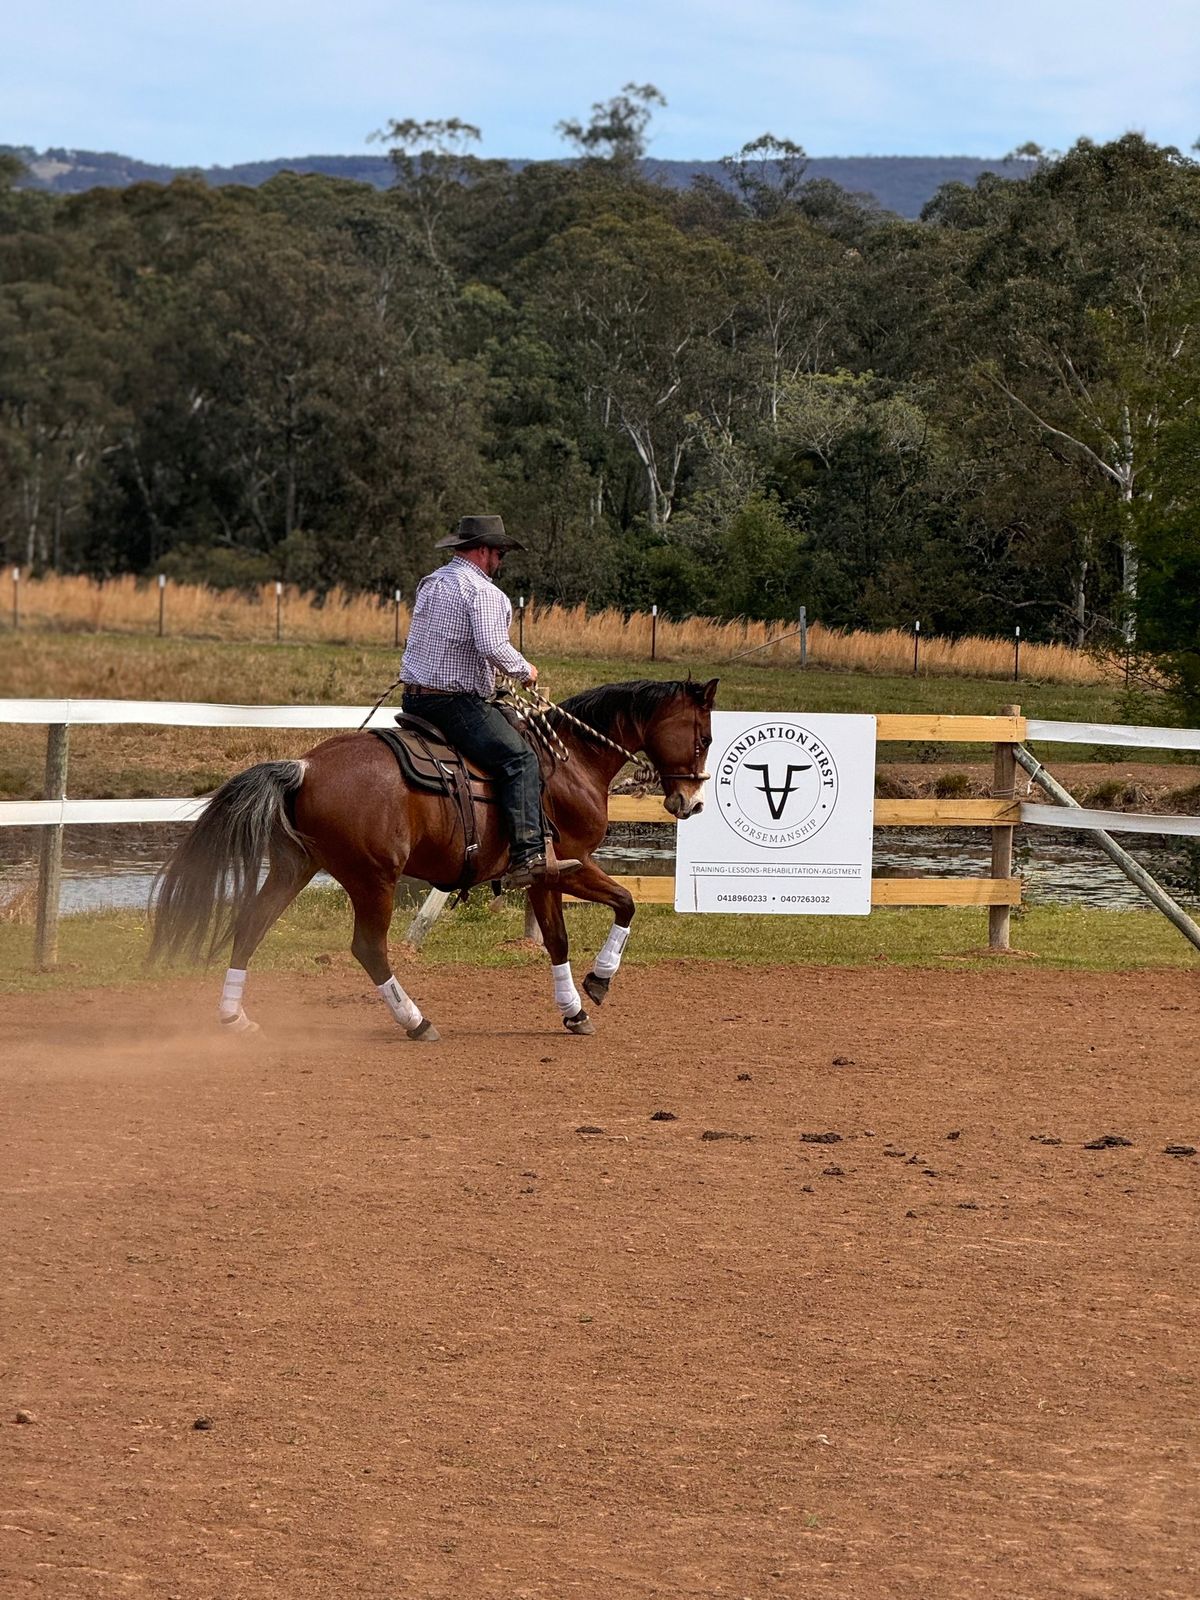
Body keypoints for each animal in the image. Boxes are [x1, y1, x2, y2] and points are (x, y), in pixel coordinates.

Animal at [148, 681, 713, 1043]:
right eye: (704, 736)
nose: (690, 803)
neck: (570, 761)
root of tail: (303, 766)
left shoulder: (546, 877)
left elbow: (556, 939)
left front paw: (573, 1011)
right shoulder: (572, 863)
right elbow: (625, 902)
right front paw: (598, 983)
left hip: (295, 867)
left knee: (252, 923)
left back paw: (233, 1018)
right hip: (373, 879)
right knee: (368, 948)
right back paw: (416, 1022)